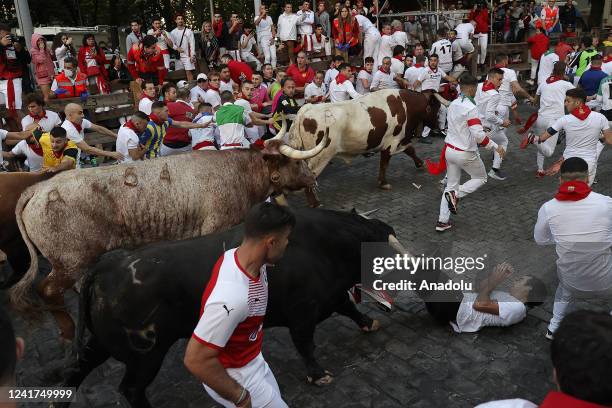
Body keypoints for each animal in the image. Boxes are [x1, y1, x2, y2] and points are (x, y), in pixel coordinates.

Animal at [9, 122, 328, 342]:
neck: (241, 173)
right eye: (297, 161)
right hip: (70, 260)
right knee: (47, 290)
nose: (312, 178)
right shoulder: (216, 226)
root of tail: (38, 188)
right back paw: (68, 332)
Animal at [64, 209, 400, 406]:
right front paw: (318, 374)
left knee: (76, 369)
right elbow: (306, 344)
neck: (324, 245)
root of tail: (108, 264)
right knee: (131, 389)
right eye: (384, 249)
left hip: (102, 343)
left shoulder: (330, 296)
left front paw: (369, 323)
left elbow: (350, 309)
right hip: (146, 355)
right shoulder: (302, 312)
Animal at [274, 88, 448, 206]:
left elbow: (410, 150)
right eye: (436, 108)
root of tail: (307, 109)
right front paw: (383, 183)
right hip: (320, 155)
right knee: (310, 175)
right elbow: (385, 163)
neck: (404, 104)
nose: (439, 126)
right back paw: (314, 203)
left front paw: (420, 163)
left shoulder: (398, 140)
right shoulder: (391, 142)